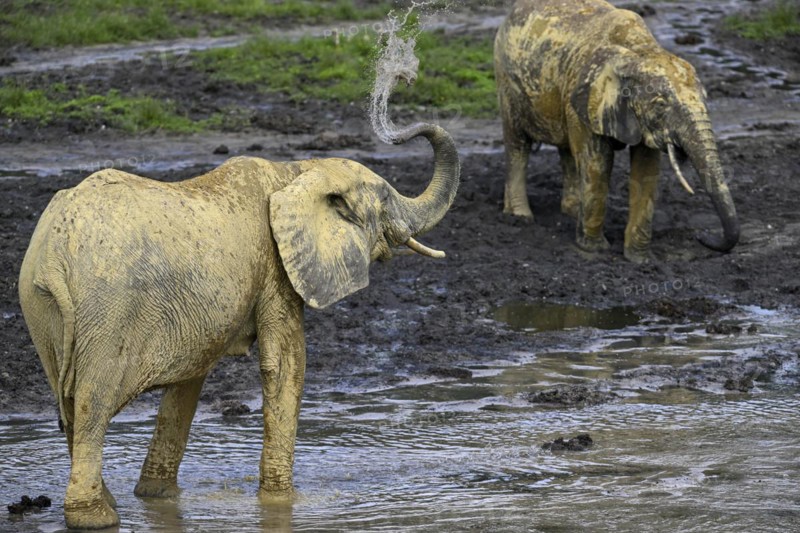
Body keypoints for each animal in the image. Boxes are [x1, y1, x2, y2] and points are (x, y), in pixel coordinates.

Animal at [18, 120, 459, 529]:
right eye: (384, 199)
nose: (400, 130)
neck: (298, 171)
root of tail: (54, 255)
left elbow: (190, 379)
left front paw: (159, 497)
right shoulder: (276, 268)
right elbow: (286, 365)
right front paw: (282, 502)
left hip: (41, 310)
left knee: (69, 405)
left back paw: (110, 504)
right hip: (107, 310)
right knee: (92, 404)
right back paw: (97, 518)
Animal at [494, 0, 739, 263]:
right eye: (660, 105)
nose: (700, 236)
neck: (639, 52)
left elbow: (646, 169)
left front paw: (639, 260)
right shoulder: (585, 98)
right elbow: (598, 162)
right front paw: (594, 251)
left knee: (567, 149)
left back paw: (571, 212)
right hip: (506, 81)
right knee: (518, 144)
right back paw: (520, 217)